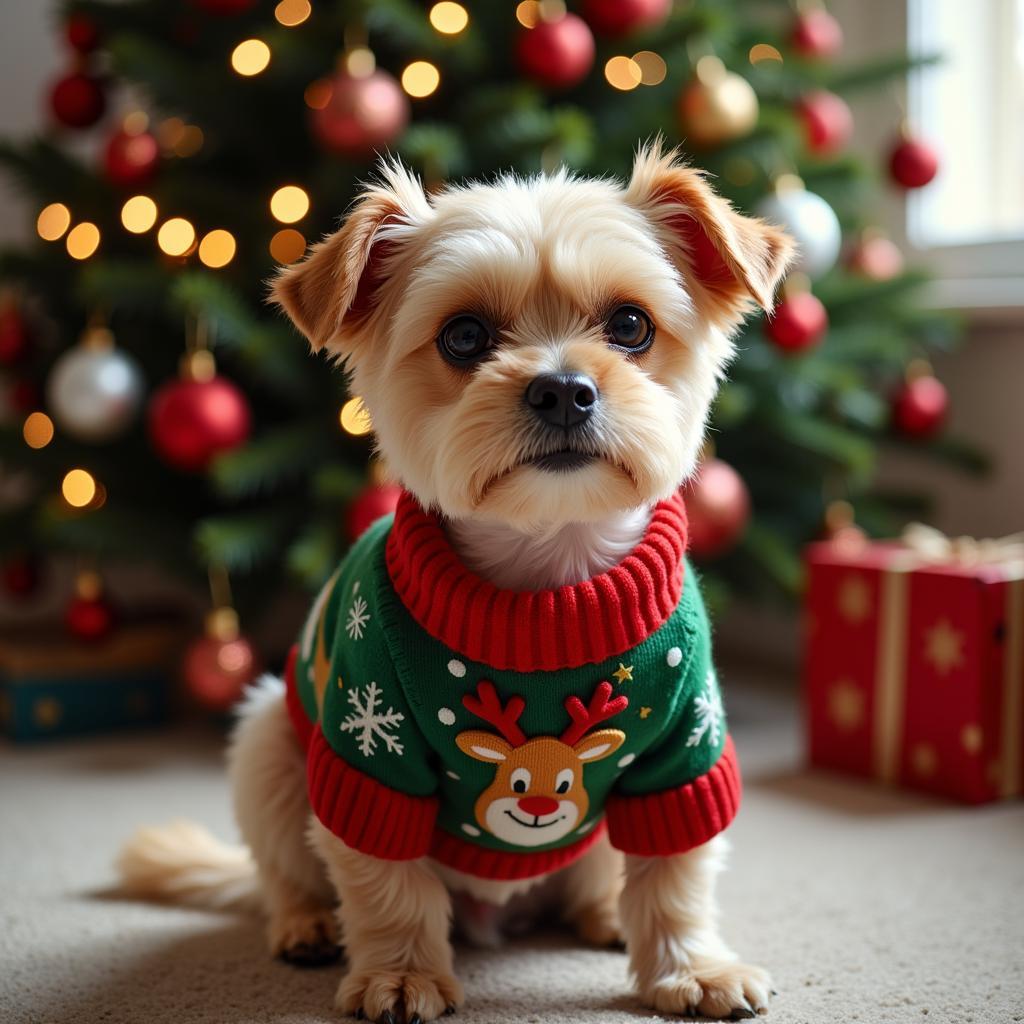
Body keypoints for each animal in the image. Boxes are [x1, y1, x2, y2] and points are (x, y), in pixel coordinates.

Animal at [117, 144, 790, 1024]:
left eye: (631, 326)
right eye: (464, 336)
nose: (563, 389)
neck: (545, 586)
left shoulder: (686, 752)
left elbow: (675, 874)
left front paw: (690, 967)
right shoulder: (369, 756)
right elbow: (386, 883)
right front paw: (402, 974)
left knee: (600, 873)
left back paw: (604, 913)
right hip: (268, 739)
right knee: (284, 876)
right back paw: (305, 925)